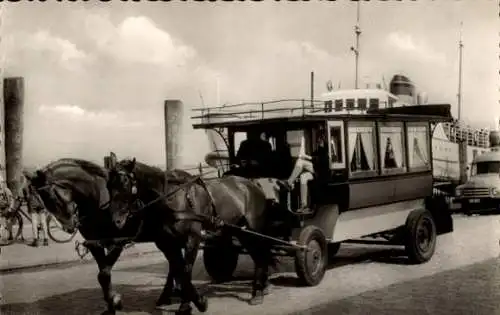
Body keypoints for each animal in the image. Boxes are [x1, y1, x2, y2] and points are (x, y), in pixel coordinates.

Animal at [28, 159, 180, 314]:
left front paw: (115, 301)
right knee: (174, 262)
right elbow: (102, 275)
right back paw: (168, 295)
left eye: (52, 197)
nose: (69, 227)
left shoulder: (117, 242)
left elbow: (104, 273)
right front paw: (111, 303)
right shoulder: (95, 243)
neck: (97, 200)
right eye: (43, 200)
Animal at [106, 155, 278, 314]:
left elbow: (185, 270)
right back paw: (260, 289)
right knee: (258, 255)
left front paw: (191, 304)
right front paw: (190, 300)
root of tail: (252, 183)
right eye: (108, 185)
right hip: (240, 230)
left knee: (262, 254)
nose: (116, 221)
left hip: (254, 228)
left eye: (125, 183)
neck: (172, 199)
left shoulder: (192, 238)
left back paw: (259, 291)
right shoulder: (167, 243)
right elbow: (178, 269)